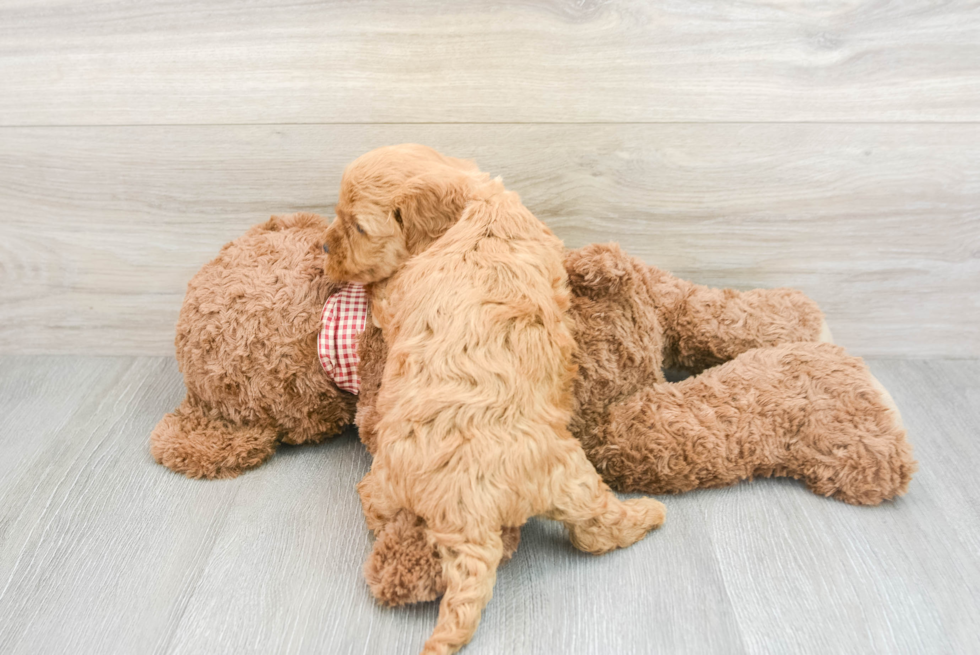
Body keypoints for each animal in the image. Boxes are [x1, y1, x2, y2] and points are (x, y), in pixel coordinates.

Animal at [326, 146, 664, 652]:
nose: (325, 248)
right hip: (568, 474)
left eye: (359, 227)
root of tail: (467, 511)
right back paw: (647, 513)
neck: (473, 204)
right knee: (596, 532)